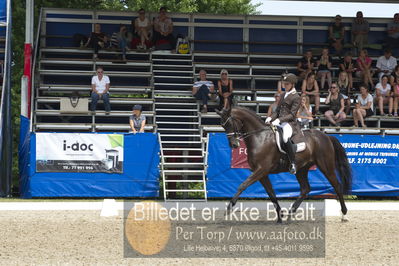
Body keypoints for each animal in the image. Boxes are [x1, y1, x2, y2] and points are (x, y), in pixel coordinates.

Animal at [216, 106, 354, 222]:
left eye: (229, 123)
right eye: (222, 126)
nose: (234, 145)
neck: (259, 137)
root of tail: (326, 136)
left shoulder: (261, 170)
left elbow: (242, 185)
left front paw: (228, 209)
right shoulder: (262, 173)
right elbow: (271, 194)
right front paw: (280, 217)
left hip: (326, 166)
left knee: (337, 185)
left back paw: (344, 214)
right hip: (301, 169)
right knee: (305, 189)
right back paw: (289, 215)